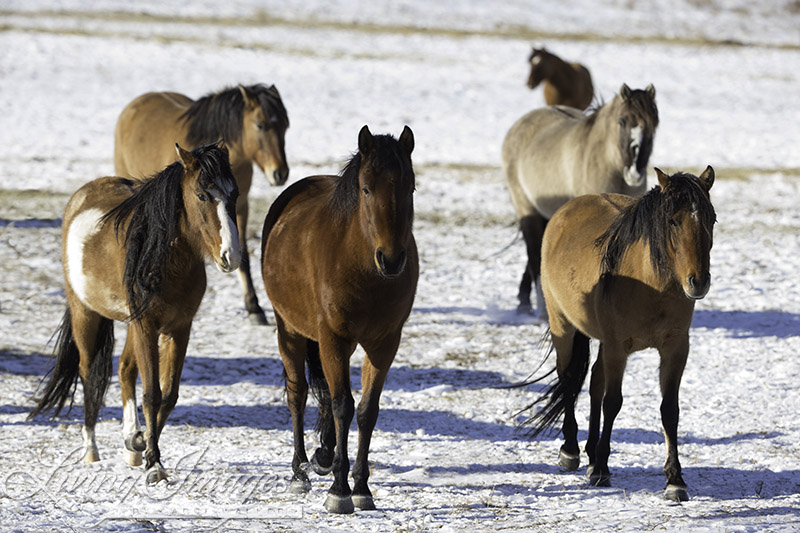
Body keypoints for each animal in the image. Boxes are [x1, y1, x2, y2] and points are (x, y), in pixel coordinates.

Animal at [29, 143, 241, 484]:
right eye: (201, 195)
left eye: (234, 194)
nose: (230, 256)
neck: (164, 260)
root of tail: (83, 194)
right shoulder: (147, 325)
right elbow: (152, 394)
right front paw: (155, 464)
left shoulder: (179, 328)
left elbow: (168, 395)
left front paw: (142, 443)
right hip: (85, 315)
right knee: (90, 374)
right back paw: (91, 449)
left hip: (132, 326)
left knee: (125, 369)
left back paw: (132, 442)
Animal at [112, 83, 288, 324]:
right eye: (260, 125)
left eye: (285, 126)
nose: (280, 173)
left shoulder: (241, 206)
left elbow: (243, 256)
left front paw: (254, 307)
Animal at [260, 123, 418, 512]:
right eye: (366, 188)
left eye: (409, 187)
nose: (391, 259)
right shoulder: (334, 338)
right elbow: (343, 405)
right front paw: (340, 490)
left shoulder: (384, 343)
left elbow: (366, 410)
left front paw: (360, 486)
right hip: (289, 331)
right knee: (298, 394)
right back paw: (299, 473)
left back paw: (324, 456)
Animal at [504, 82, 660, 316]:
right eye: (622, 121)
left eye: (654, 123)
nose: (635, 173)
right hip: (526, 208)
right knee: (533, 253)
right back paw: (541, 308)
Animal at [528, 165, 716, 498]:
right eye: (673, 220)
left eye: (712, 220)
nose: (699, 282)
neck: (651, 287)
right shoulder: (618, 347)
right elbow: (612, 402)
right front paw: (602, 469)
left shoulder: (675, 348)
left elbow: (670, 410)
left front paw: (675, 479)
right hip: (563, 326)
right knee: (569, 380)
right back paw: (572, 450)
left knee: (593, 382)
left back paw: (591, 452)